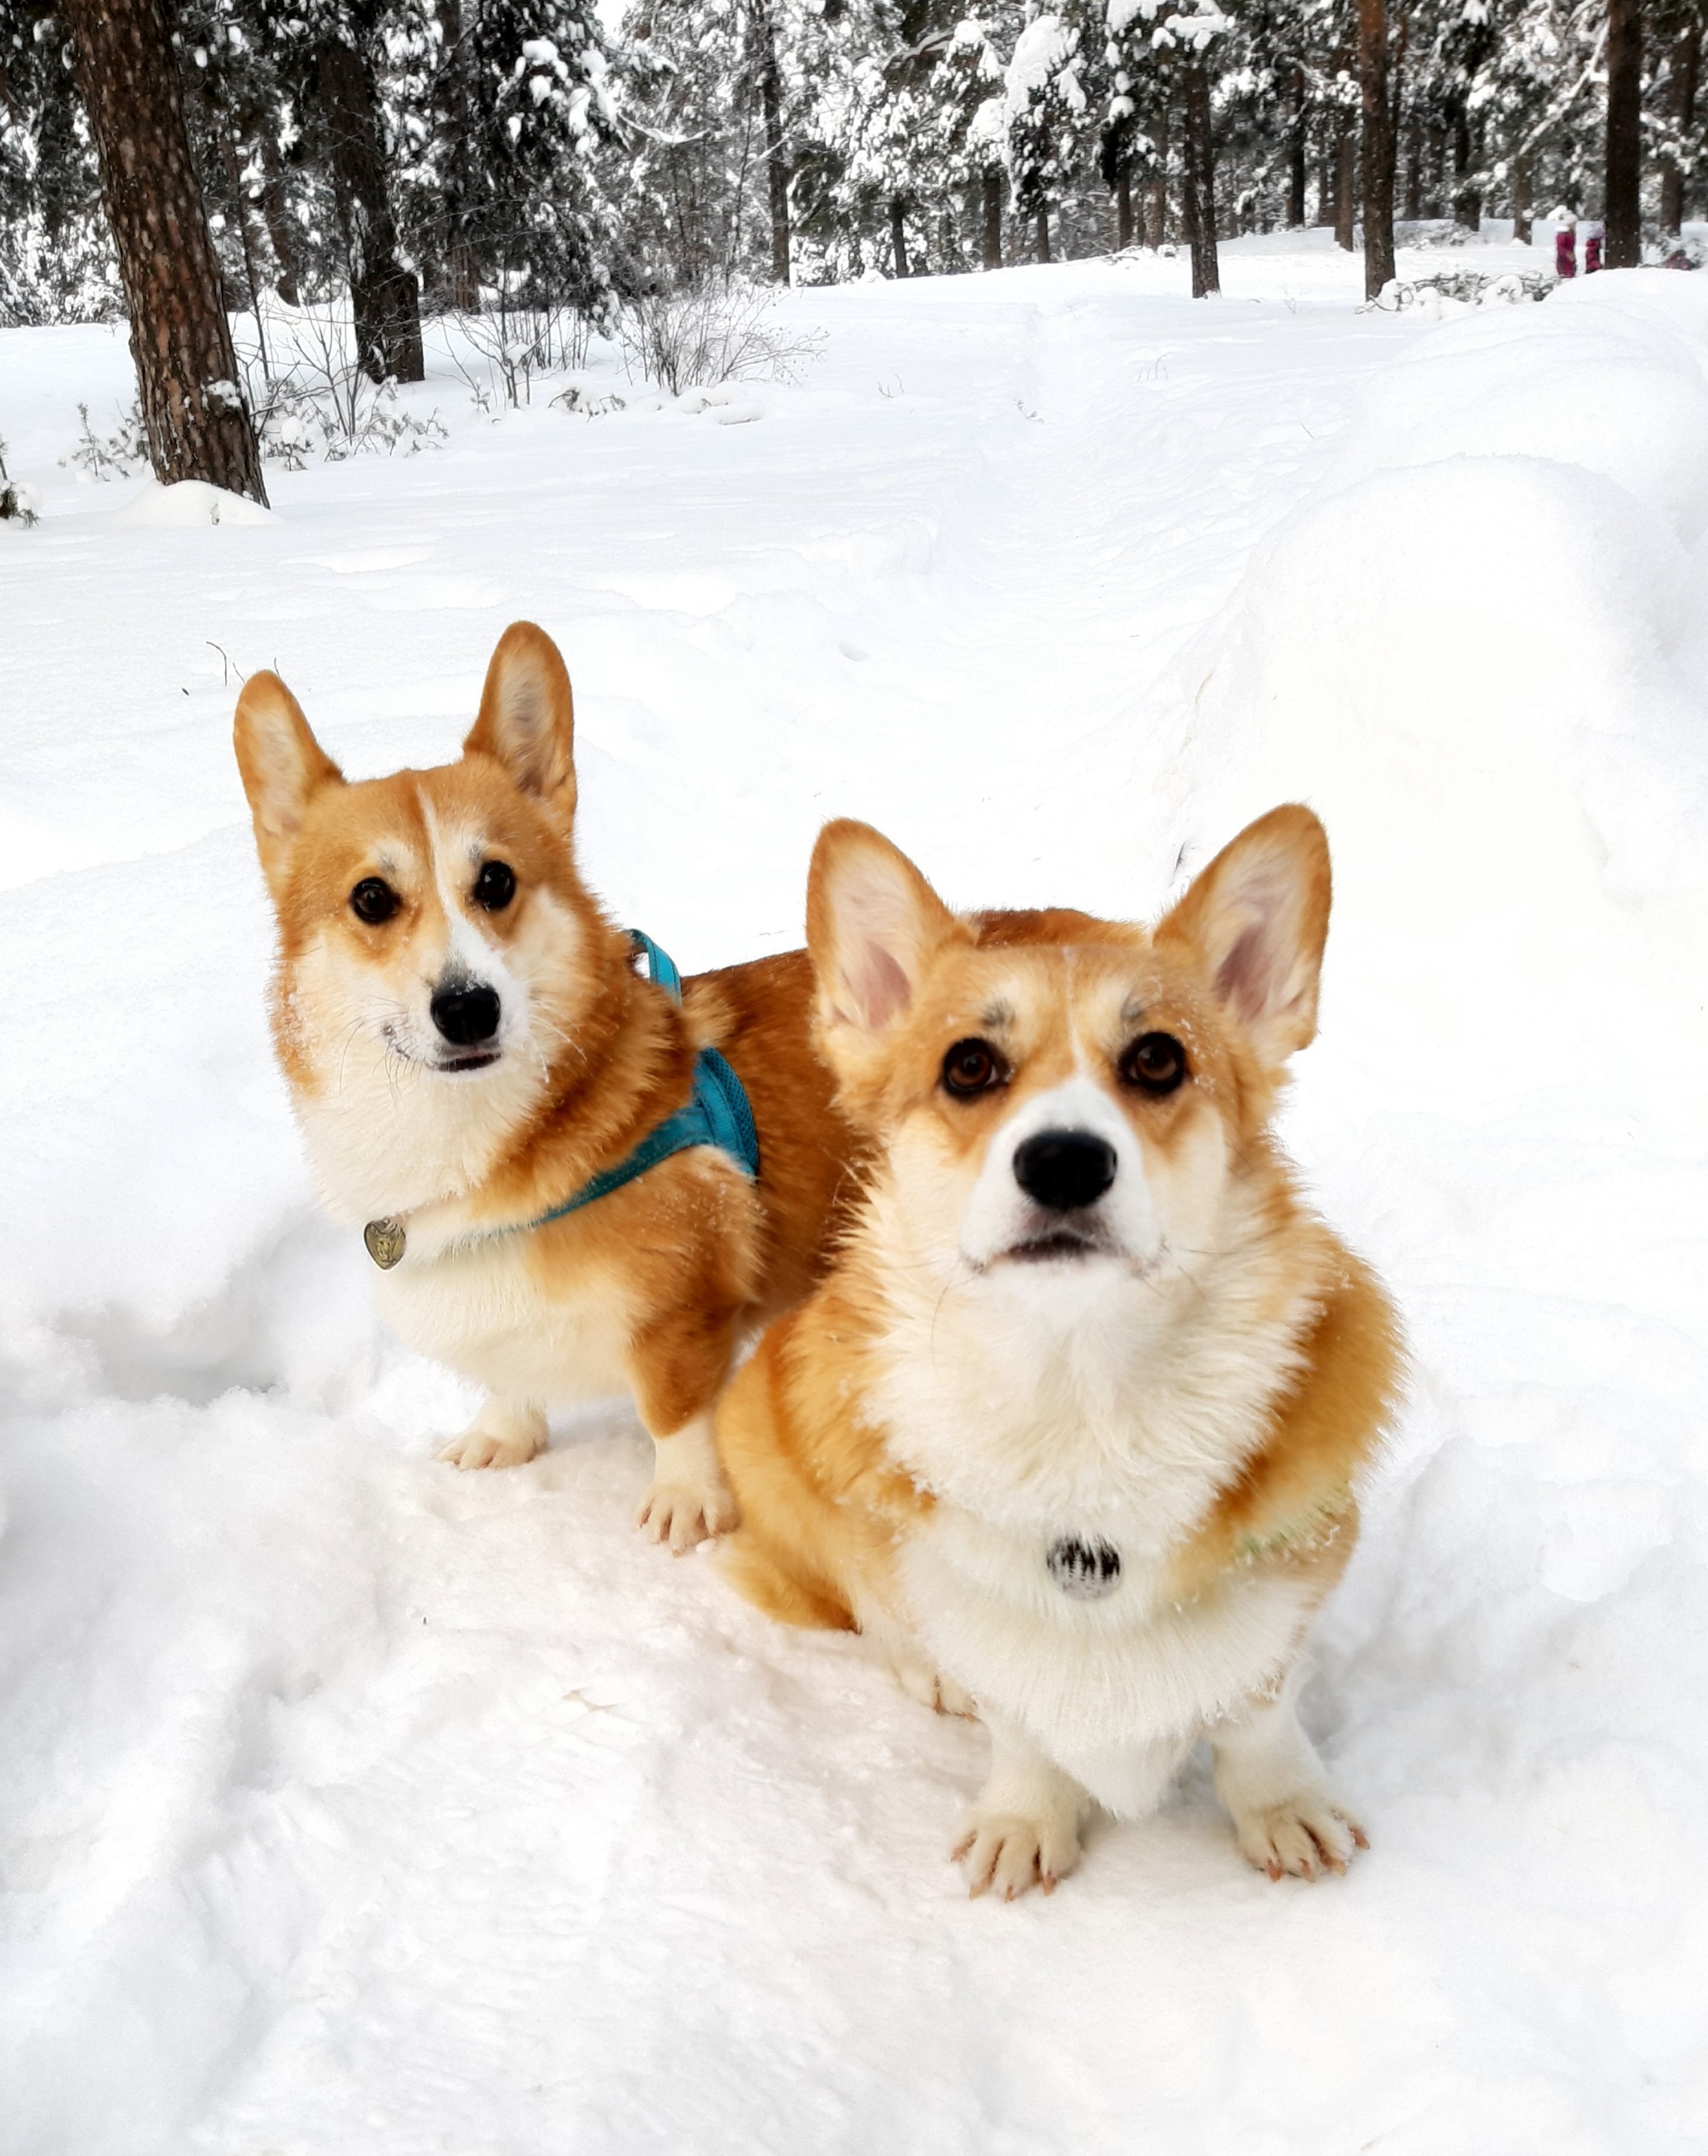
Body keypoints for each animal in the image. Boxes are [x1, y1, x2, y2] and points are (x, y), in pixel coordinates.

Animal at [234, 625, 862, 1552]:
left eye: (495, 880)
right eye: (371, 897)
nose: (467, 1006)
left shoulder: (683, 1312)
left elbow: (676, 1410)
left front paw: (688, 1500)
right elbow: (507, 1376)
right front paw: (503, 1434)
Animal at [716, 810, 1397, 1906]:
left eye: (1157, 1058)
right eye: (968, 1066)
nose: (1066, 1160)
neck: (1078, 1385)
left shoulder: (1294, 1564)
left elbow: (1258, 1710)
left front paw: (1282, 1808)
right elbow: (1017, 1723)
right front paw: (1023, 1819)